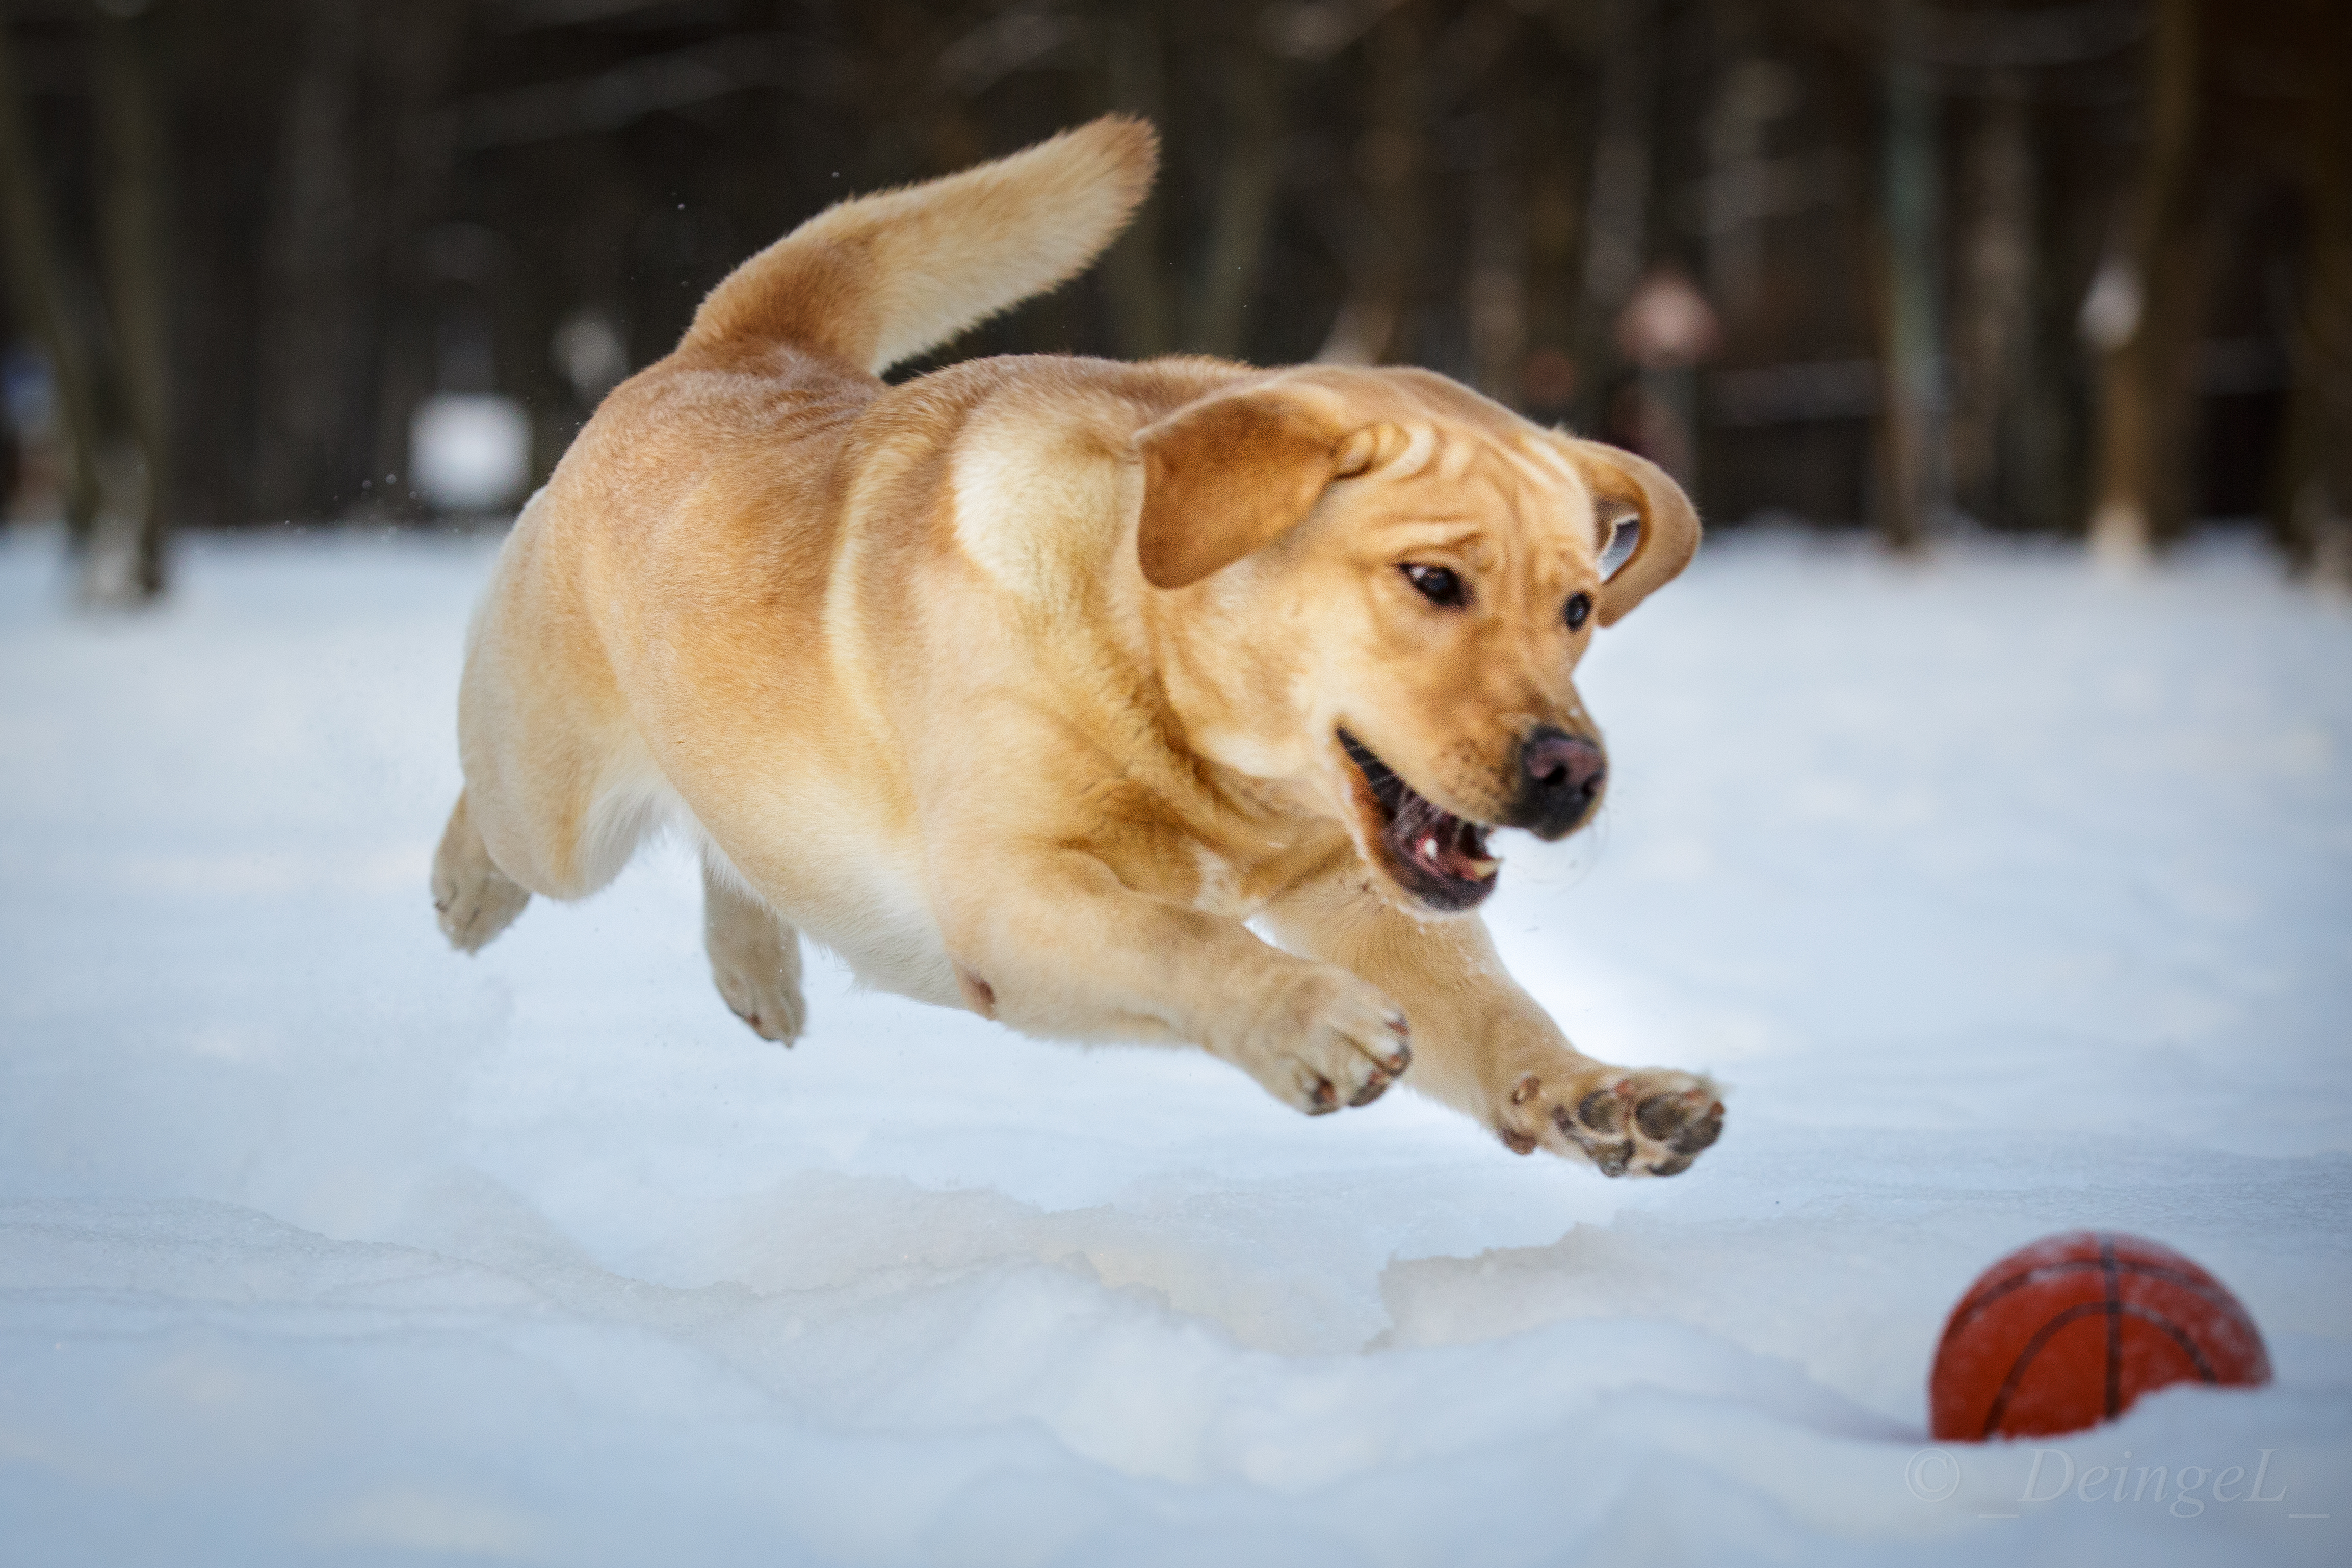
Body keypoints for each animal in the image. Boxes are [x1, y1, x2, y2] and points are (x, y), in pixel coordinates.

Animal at [442, 116, 1721, 1170]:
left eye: (1576, 607)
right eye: (1432, 580)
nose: (1573, 770)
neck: (1151, 670)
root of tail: (741, 348)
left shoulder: (1358, 895)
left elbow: (1500, 1012)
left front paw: (1603, 1094)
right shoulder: (1012, 894)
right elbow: (1179, 935)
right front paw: (1306, 1017)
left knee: (735, 841)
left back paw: (758, 968)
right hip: (557, 811)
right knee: (501, 810)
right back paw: (465, 889)